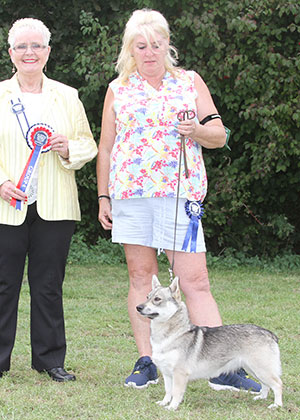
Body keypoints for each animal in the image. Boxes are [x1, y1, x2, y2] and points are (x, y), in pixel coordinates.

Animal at [137, 276, 282, 410]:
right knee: (266, 385)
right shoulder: (167, 374)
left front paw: (172, 407)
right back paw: (261, 397)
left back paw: (277, 405)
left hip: (261, 370)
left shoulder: (179, 374)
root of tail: (269, 333)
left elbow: (176, 393)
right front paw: (164, 403)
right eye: (147, 297)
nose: (138, 307)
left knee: (278, 385)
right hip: (254, 369)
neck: (172, 335)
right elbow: (168, 392)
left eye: (157, 299)